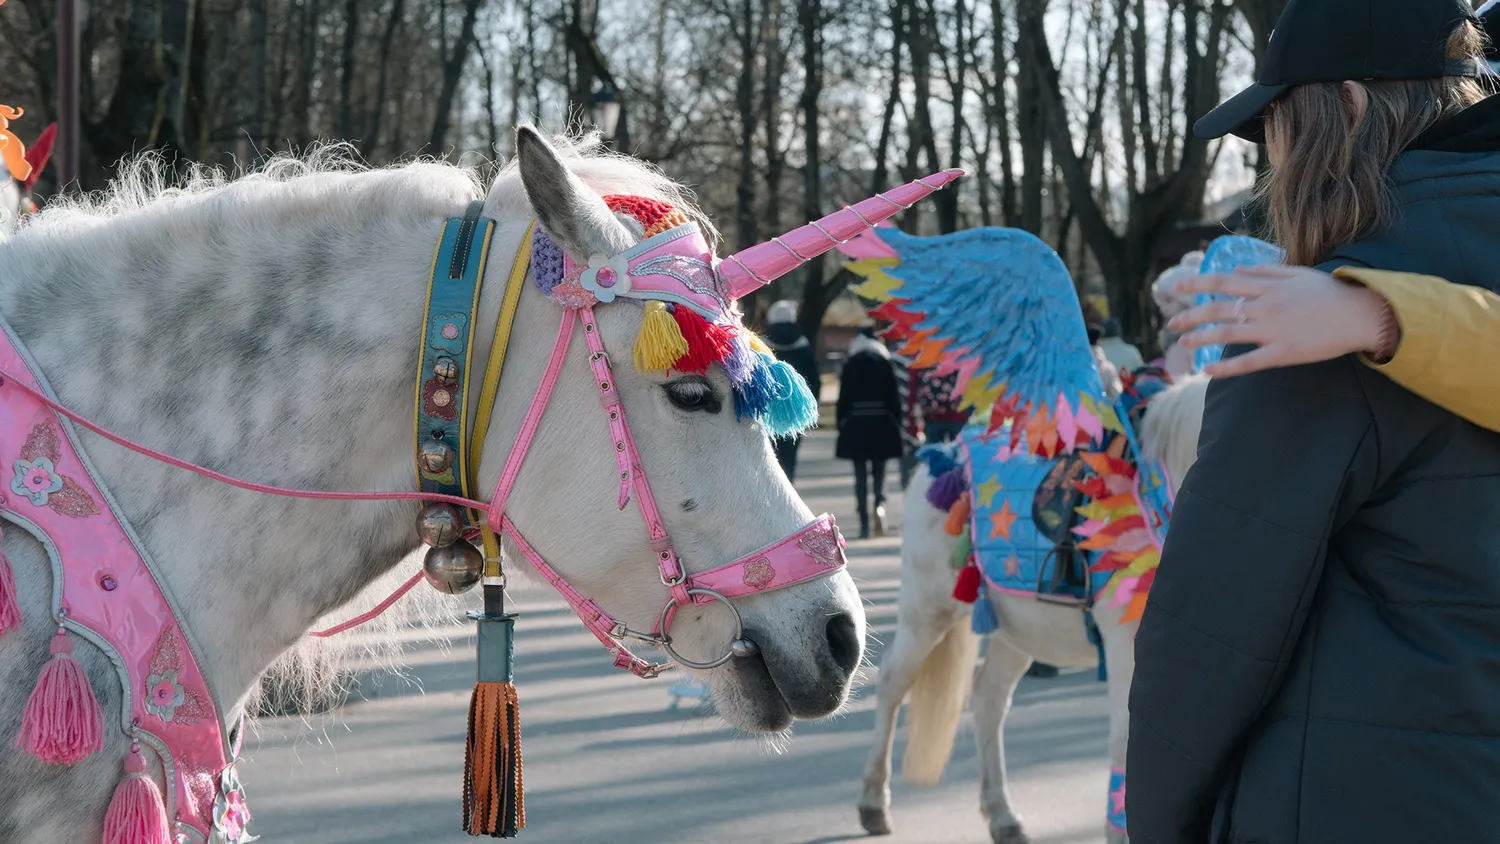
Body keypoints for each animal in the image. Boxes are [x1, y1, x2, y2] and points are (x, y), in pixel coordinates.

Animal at [858, 374, 1206, 844]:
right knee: (893, 684)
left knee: (988, 699)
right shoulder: (1124, 645)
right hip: (927, 612)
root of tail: (944, 454)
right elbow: (1125, 741)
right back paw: (873, 802)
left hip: (1019, 631)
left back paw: (1003, 816)